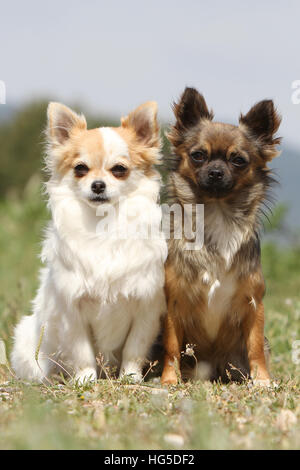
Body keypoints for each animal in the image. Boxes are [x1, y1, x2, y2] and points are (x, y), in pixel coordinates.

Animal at [11, 100, 166, 382]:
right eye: (80, 169)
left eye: (119, 170)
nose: (97, 184)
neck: (102, 226)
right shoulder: (71, 310)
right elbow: (81, 350)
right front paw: (85, 380)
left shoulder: (146, 307)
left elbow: (134, 347)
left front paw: (130, 378)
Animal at [162, 87, 282, 386]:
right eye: (198, 155)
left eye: (238, 160)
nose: (216, 171)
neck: (216, 214)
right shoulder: (173, 304)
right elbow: (171, 346)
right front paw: (169, 380)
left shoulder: (254, 304)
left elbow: (255, 347)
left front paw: (262, 380)